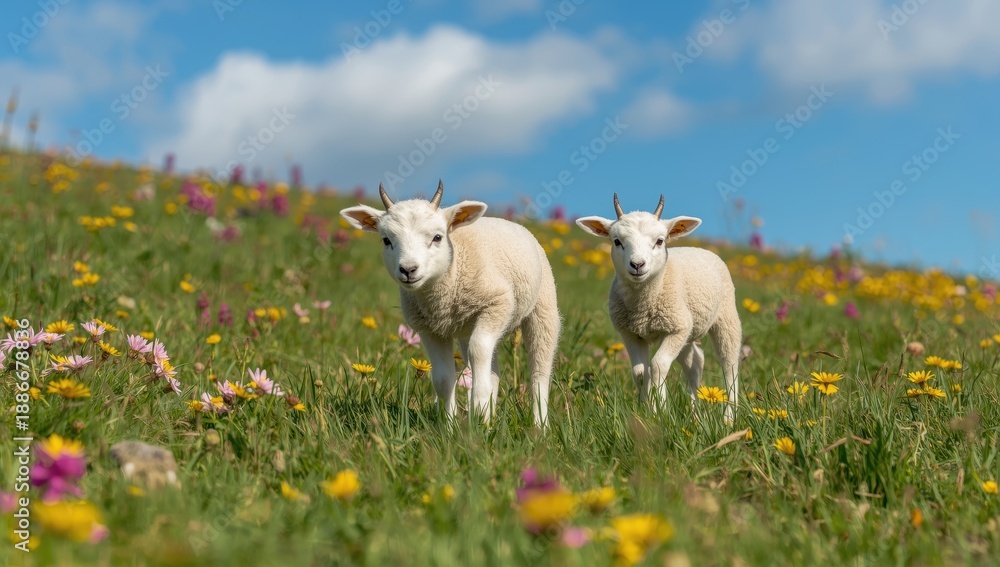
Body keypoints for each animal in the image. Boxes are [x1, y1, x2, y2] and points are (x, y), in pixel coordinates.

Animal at [340, 181, 561, 426]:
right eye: (386, 240)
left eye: (437, 237)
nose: (408, 270)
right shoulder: (429, 329)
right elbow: (443, 379)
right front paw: (450, 423)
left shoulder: (497, 303)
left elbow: (478, 349)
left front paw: (479, 406)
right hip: (467, 328)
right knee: (491, 369)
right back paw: (489, 419)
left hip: (543, 307)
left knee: (538, 371)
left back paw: (538, 424)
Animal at [576, 194, 742, 422]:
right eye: (617, 241)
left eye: (659, 241)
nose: (637, 265)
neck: (643, 306)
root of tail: (698, 248)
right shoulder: (631, 332)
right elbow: (641, 371)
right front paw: (646, 409)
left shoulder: (676, 328)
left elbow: (658, 365)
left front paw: (658, 409)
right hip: (687, 331)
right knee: (696, 362)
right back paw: (694, 412)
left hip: (725, 316)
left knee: (730, 365)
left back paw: (729, 417)